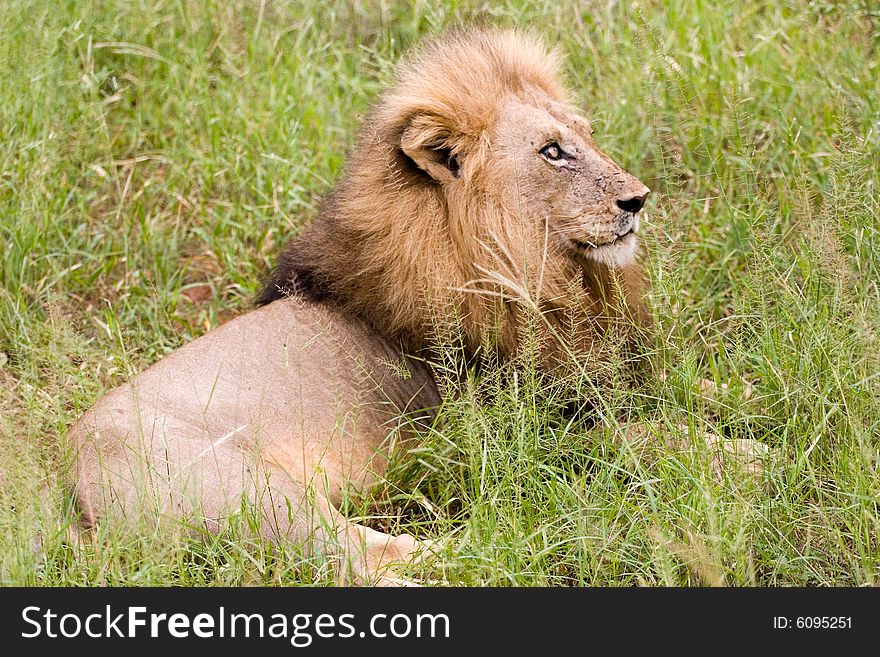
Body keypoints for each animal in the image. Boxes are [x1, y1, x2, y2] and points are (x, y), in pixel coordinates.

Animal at [69, 29, 744, 584]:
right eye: (553, 151)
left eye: (587, 135)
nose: (639, 198)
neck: (542, 275)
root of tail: (59, 490)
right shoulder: (525, 425)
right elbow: (654, 436)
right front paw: (745, 461)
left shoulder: (612, 373)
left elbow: (704, 389)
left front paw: (754, 401)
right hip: (254, 493)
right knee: (367, 562)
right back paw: (512, 542)